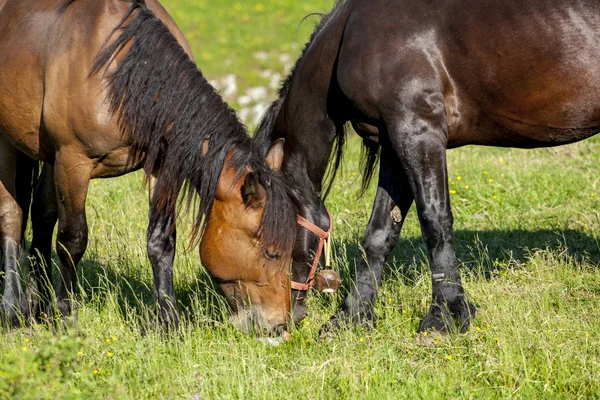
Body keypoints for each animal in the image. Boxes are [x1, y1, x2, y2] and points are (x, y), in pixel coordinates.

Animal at [0, 0, 296, 338]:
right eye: (271, 252)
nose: (278, 324)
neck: (123, 75)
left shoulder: (162, 167)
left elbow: (161, 241)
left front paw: (168, 321)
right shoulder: (72, 162)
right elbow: (72, 240)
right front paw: (66, 317)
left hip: (47, 156)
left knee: (41, 212)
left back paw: (37, 306)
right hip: (11, 145)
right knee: (12, 218)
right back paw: (13, 311)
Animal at [256, 0, 600, 334]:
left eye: (265, 246)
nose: (263, 323)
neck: (349, 35)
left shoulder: (418, 130)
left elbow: (435, 222)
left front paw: (444, 316)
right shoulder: (393, 142)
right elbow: (380, 232)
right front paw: (351, 317)